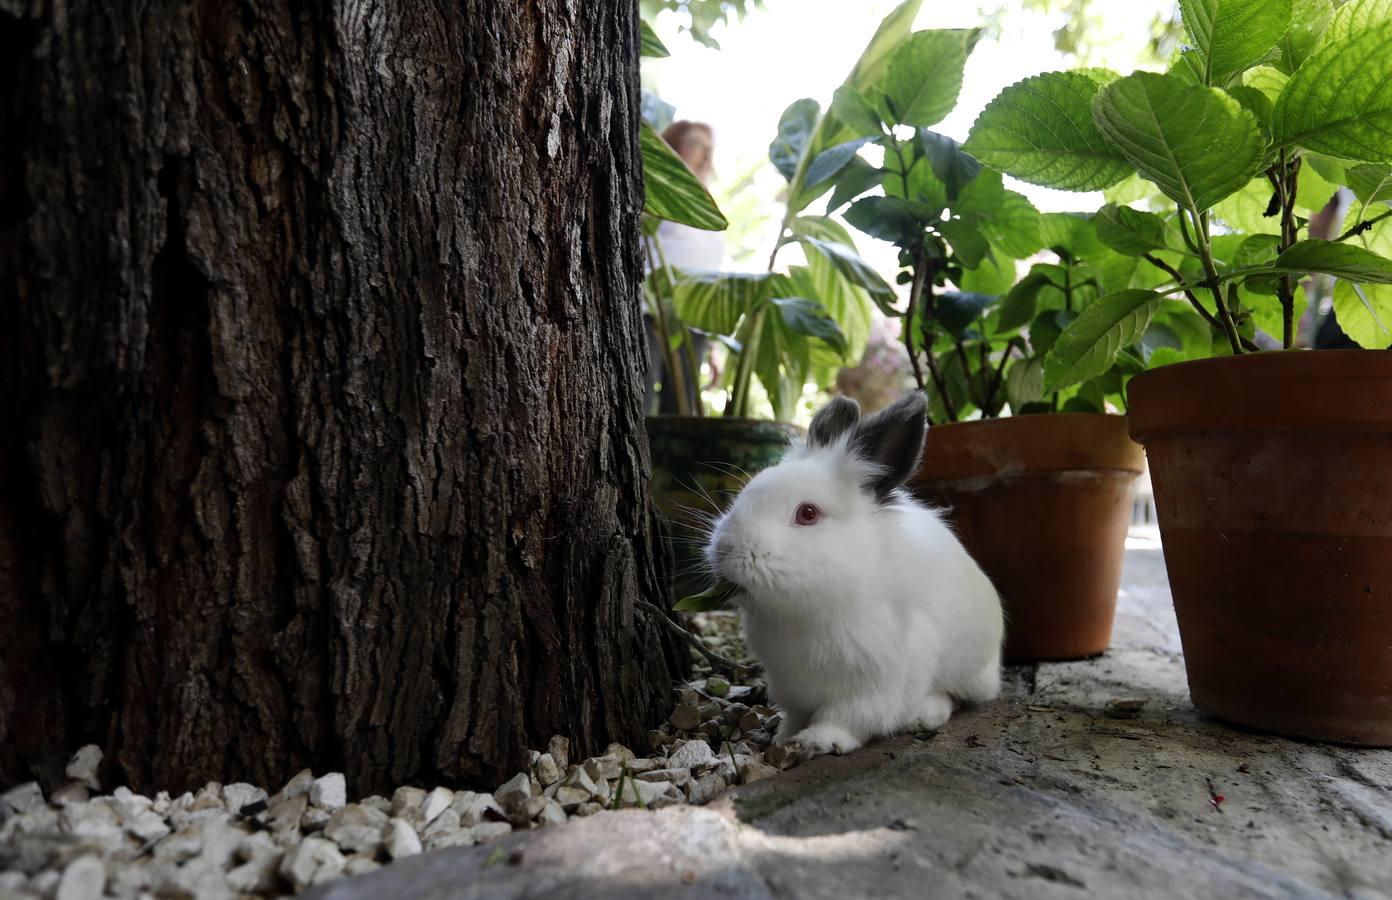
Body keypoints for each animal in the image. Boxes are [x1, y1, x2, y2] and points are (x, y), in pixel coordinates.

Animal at [707, 397, 1002, 756]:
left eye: (808, 513)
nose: (724, 551)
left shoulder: (873, 684)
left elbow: (848, 718)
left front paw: (816, 741)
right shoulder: (789, 685)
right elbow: (795, 715)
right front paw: (783, 736)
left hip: (968, 669)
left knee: (955, 696)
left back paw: (923, 715)